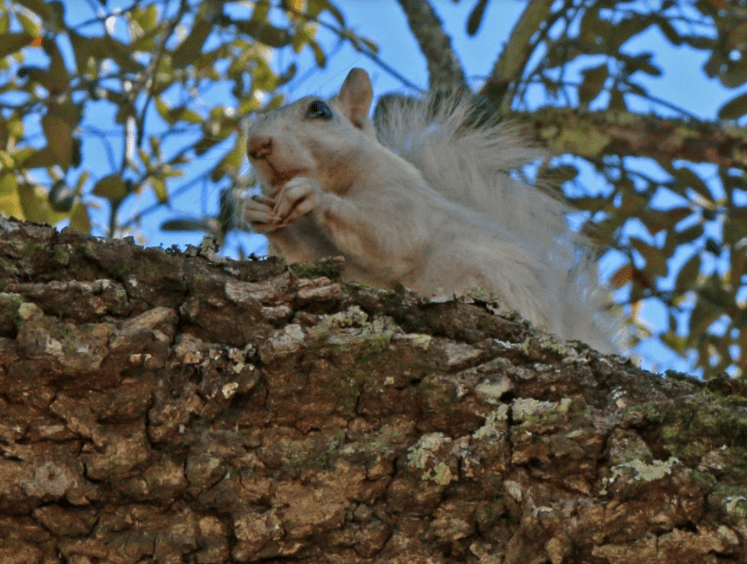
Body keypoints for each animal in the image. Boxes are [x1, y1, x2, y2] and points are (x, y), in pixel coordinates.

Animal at [244, 68, 622, 353]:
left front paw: (312, 195)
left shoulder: (404, 198)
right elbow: (307, 254)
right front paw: (257, 213)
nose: (255, 145)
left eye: (319, 110)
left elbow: (391, 237)